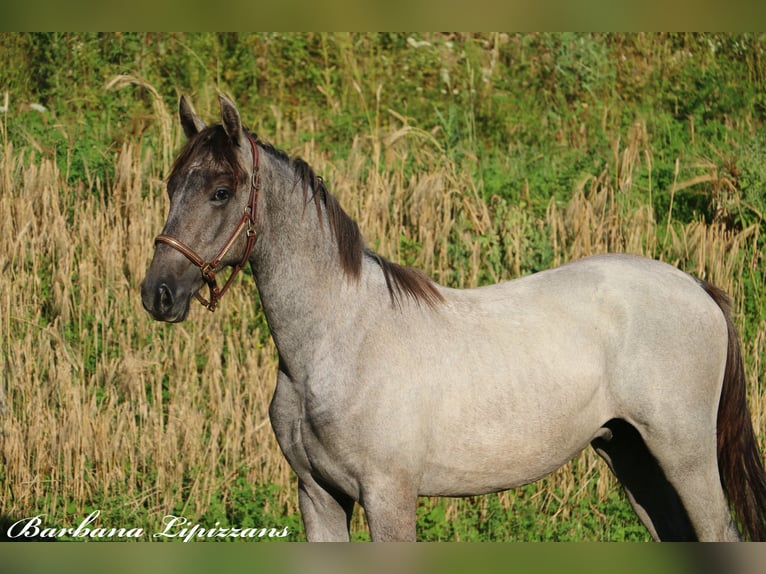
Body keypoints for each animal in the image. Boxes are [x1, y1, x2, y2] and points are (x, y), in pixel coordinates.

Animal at [140, 95, 766, 544]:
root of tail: (697, 287)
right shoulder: (318, 498)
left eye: (222, 191)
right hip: (635, 459)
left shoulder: (388, 497)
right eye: (172, 186)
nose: (157, 294)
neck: (337, 339)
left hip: (685, 457)